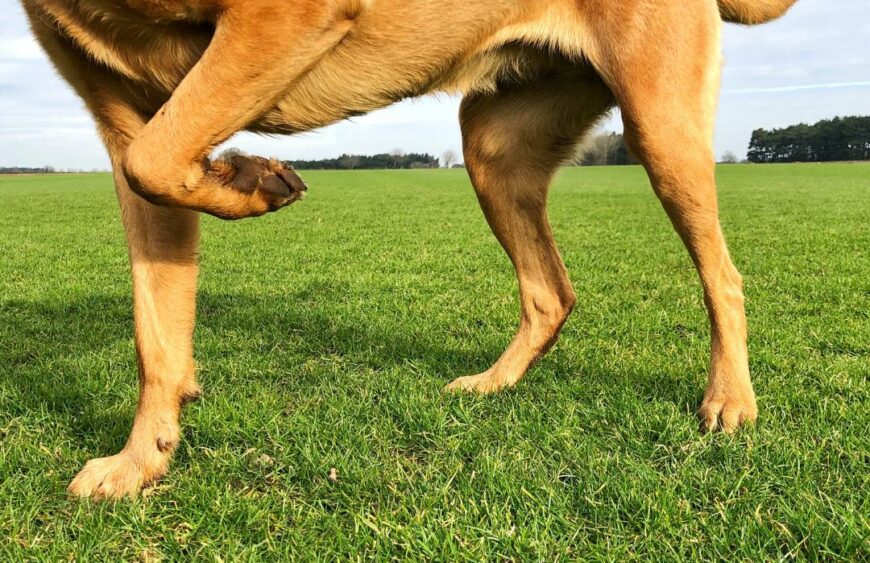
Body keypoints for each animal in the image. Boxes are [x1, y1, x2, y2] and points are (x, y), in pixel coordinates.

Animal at [20, 0, 796, 500]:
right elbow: (156, 324)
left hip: (661, 124)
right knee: (551, 292)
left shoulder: (280, 18)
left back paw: (729, 399)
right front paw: (140, 461)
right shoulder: (124, 114)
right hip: (495, 148)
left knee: (723, 276)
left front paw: (250, 178)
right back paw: (493, 383)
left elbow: (155, 163)